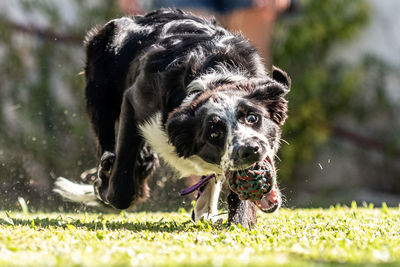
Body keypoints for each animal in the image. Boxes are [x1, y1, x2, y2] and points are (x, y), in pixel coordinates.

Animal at [54, 8, 290, 228]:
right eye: (214, 133)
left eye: (252, 118)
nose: (249, 150)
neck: (214, 77)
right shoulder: (134, 103)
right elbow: (120, 191)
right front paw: (105, 182)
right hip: (99, 92)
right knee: (105, 140)